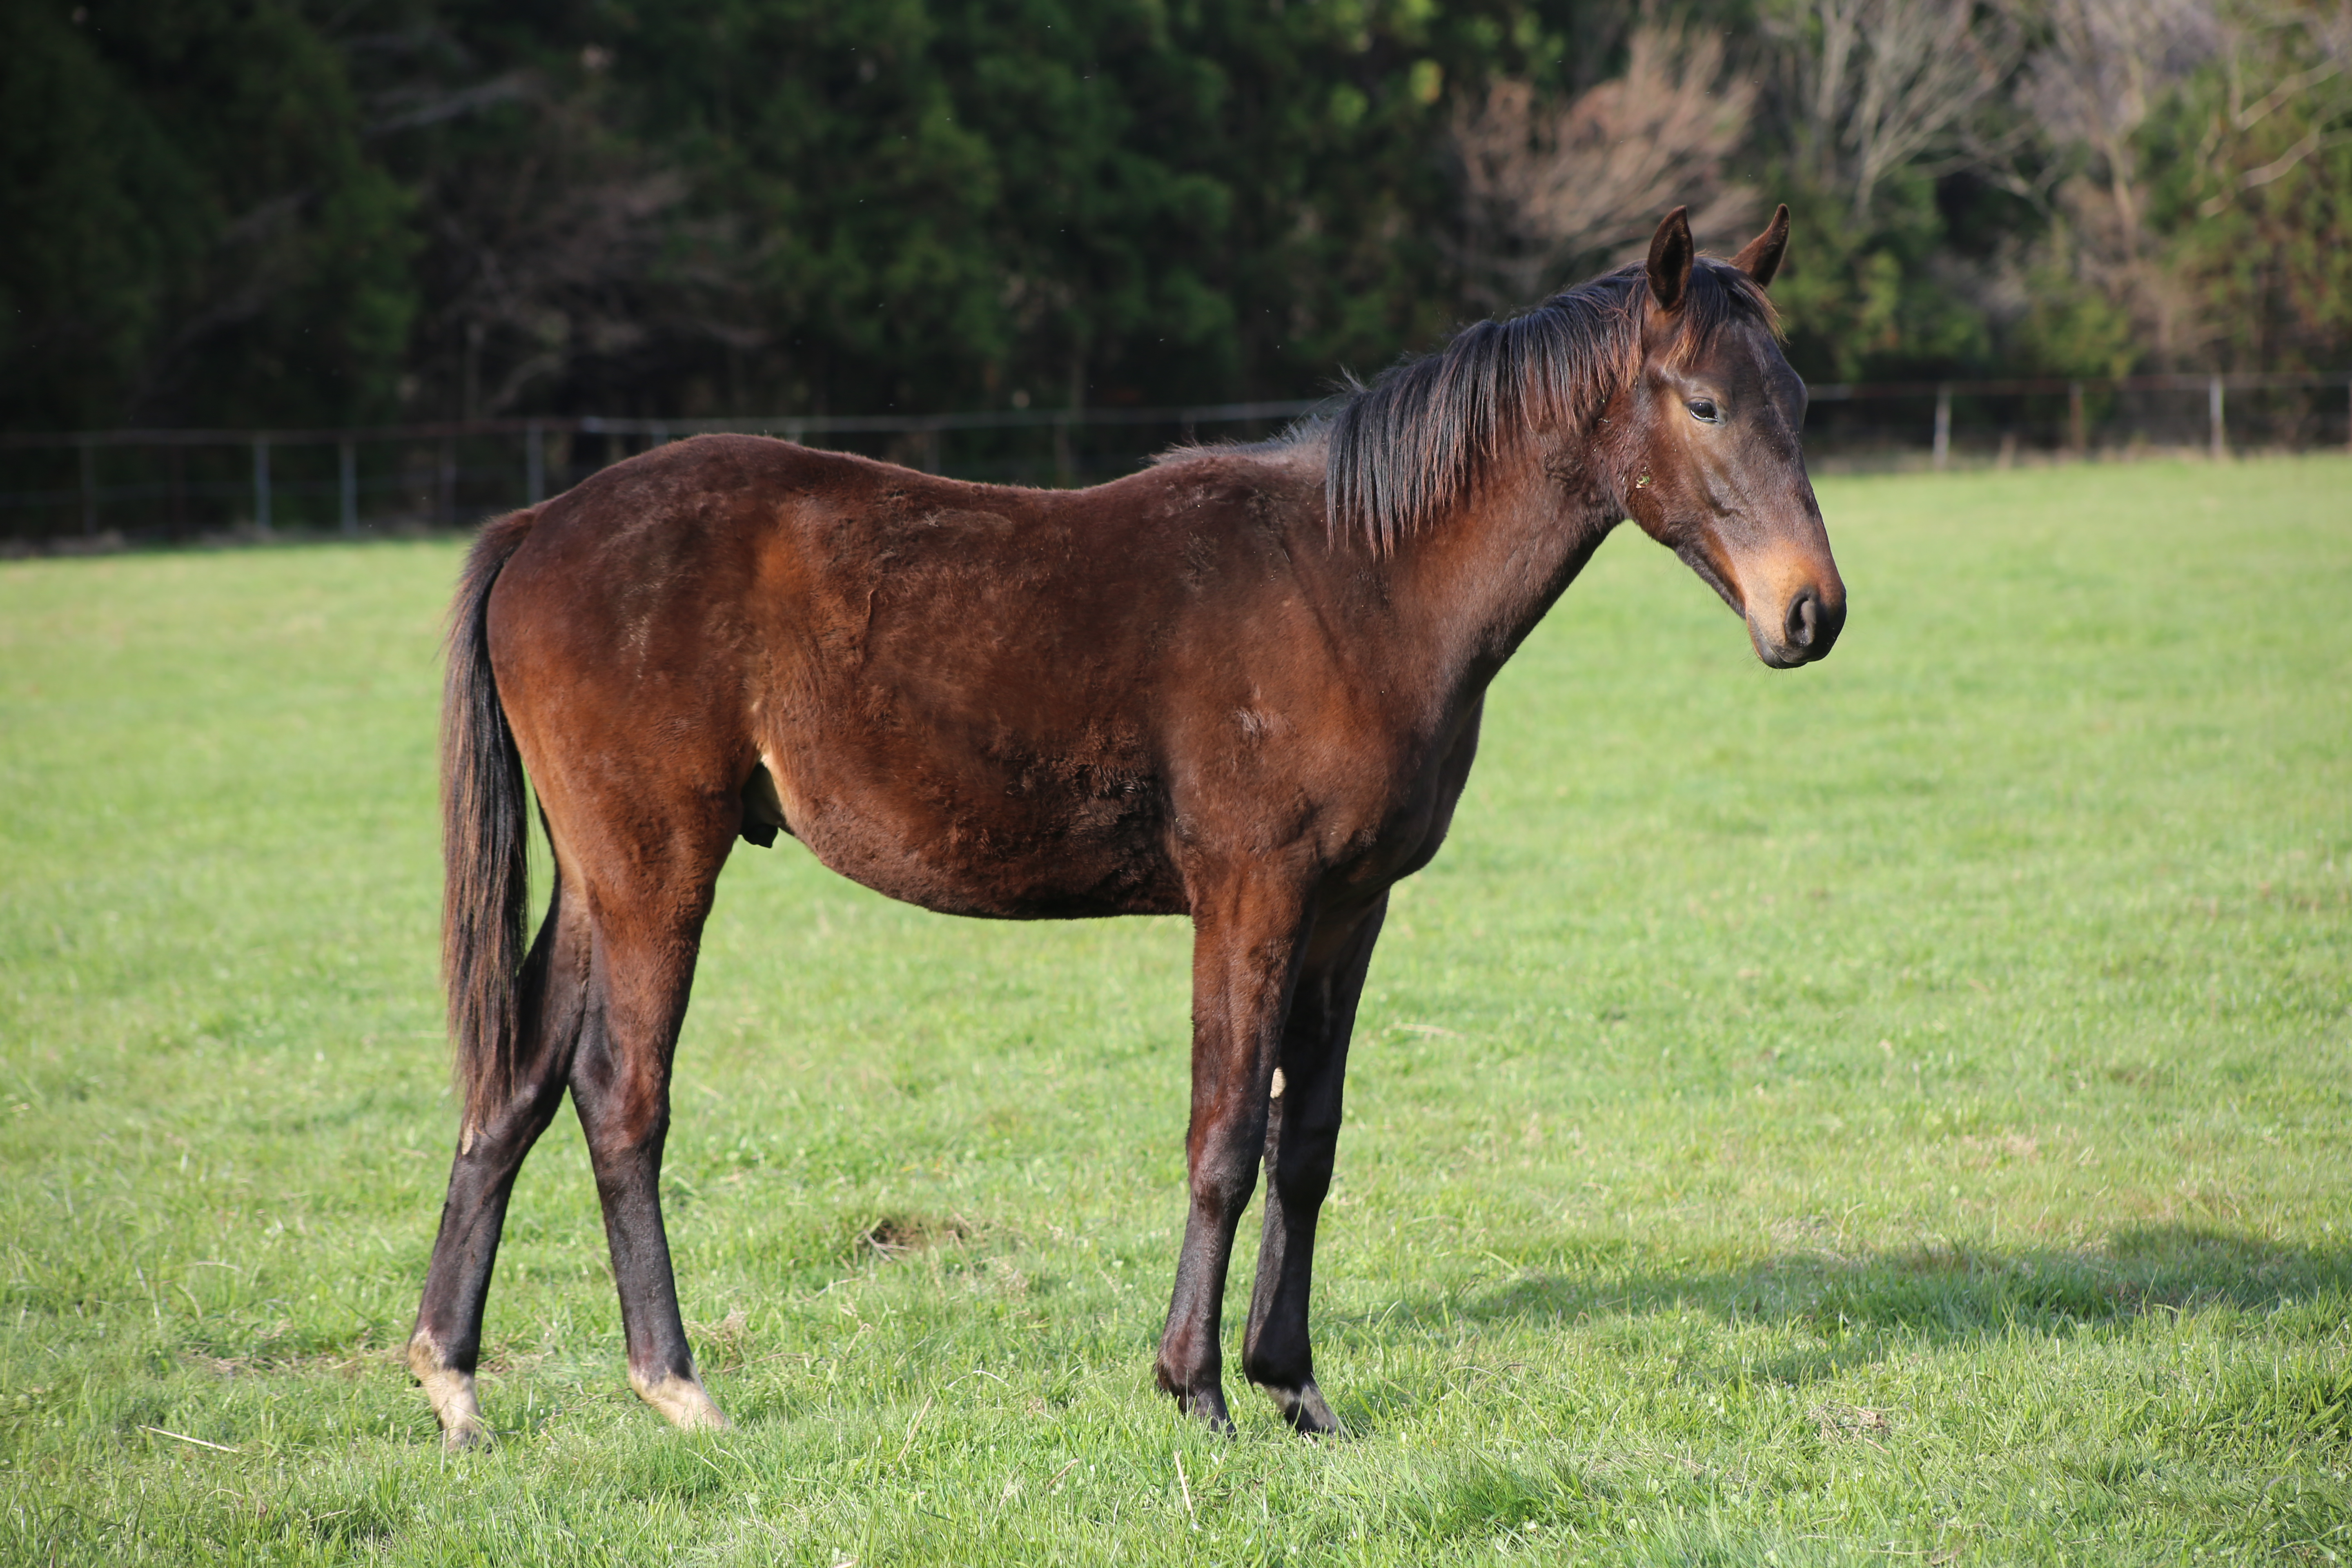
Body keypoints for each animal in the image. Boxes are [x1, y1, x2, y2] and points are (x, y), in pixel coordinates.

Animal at [409, 205, 1834, 1448]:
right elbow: (1227, 1137)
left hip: (597, 879)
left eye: (1802, 402)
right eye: (1705, 403)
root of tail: (542, 524)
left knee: (515, 1087)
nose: (1812, 611)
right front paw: (1195, 1389)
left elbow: (1308, 1144)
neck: (1355, 582)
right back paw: (675, 1381)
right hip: (658, 870)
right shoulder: (1252, 897)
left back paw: (453, 1378)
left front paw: (1295, 1386)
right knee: (620, 1098)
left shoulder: (1351, 909)